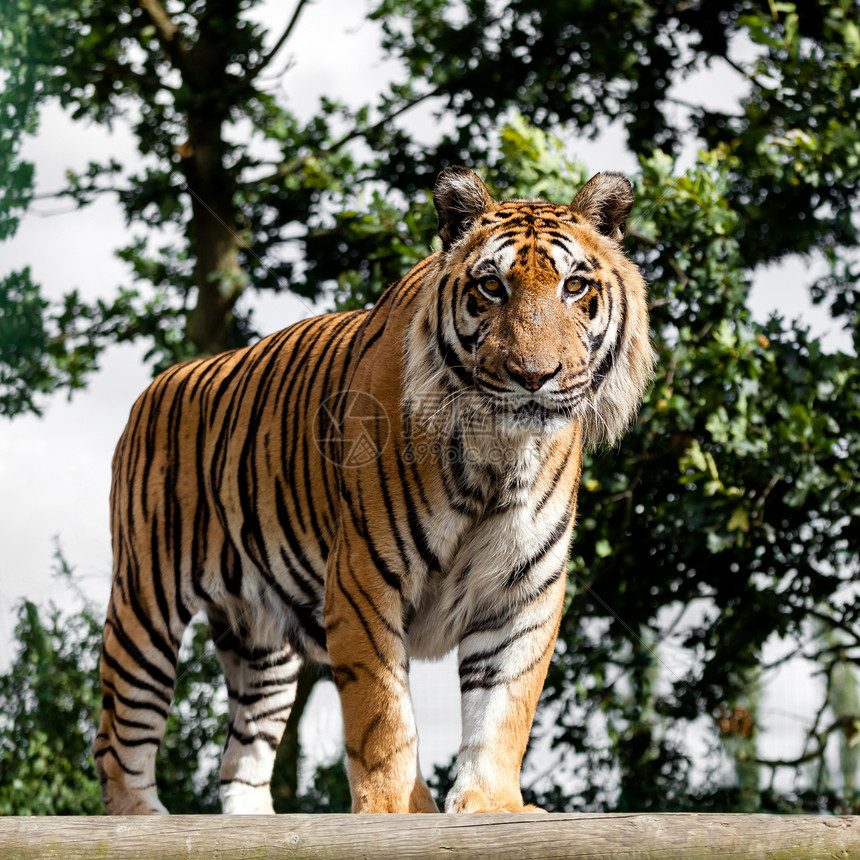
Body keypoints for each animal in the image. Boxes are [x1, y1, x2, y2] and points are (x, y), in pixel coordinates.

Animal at [92, 166, 652, 812]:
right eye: (491, 287)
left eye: (575, 286)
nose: (533, 376)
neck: (500, 452)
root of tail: (157, 385)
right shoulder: (362, 579)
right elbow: (382, 717)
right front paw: (393, 811)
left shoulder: (523, 593)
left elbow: (503, 710)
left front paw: (492, 805)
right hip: (145, 601)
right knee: (118, 739)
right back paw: (143, 816)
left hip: (261, 643)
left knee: (241, 758)